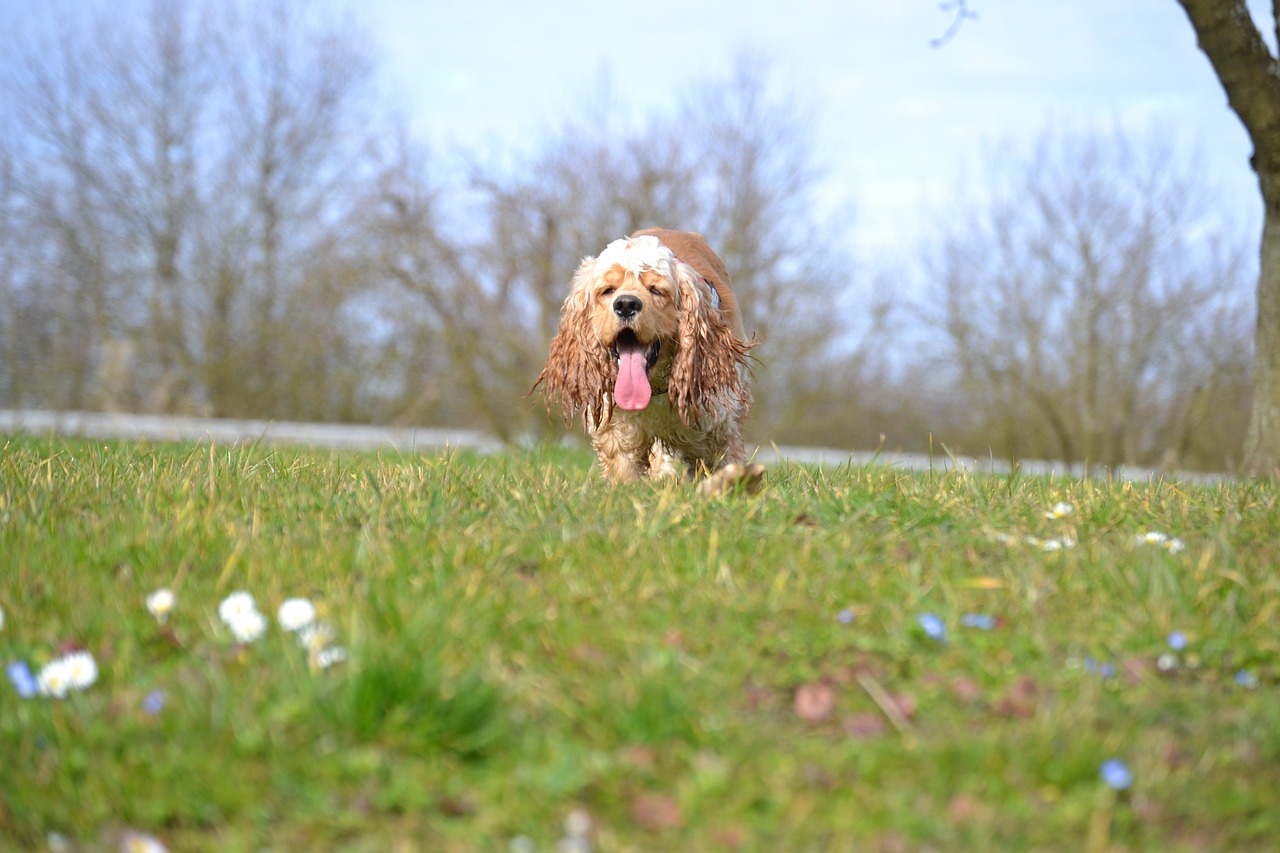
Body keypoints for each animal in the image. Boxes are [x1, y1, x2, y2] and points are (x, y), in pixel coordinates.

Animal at [532, 229, 757, 489]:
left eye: (656, 290)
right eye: (608, 290)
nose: (626, 304)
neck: (655, 389)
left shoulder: (720, 427)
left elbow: (727, 463)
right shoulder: (617, 434)